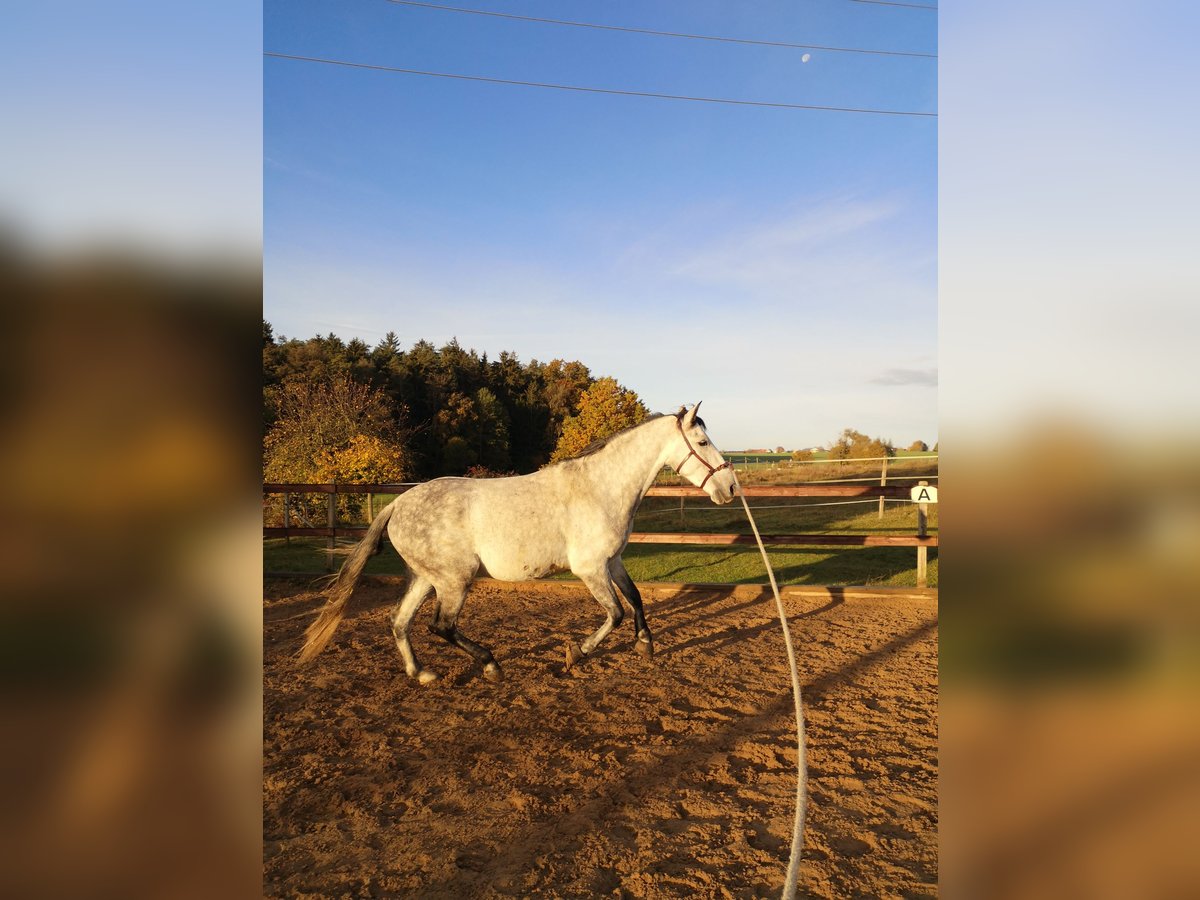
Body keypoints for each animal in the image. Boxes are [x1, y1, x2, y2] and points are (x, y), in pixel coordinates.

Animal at [297, 402, 737, 684]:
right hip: (455, 580)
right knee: (441, 626)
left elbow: (636, 600)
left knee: (399, 622)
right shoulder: (590, 568)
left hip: (426, 578)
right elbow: (614, 613)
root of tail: (398, 503)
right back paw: (491, 667)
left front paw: (645, 645)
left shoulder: (612, 561)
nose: (731, 487)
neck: (599, 488)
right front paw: (575, 654)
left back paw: (422, 674)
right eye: (702, 443)